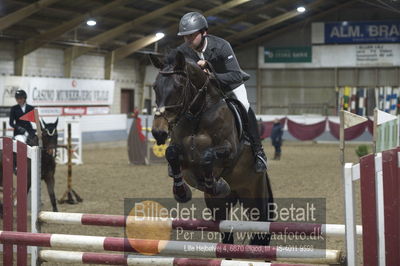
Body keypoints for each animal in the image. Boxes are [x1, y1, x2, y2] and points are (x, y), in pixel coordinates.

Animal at [148, 50, 274, 245]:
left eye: (179, 87)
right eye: (155, 87)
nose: (158, 132)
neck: (198, 115)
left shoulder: (229, 150)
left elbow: (207, 156)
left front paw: (215, 184)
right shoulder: (181, 153)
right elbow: (171, 153)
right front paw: (181, 191)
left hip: (254, 198)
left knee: (261, 226)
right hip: (219, 205)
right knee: (227, 235)